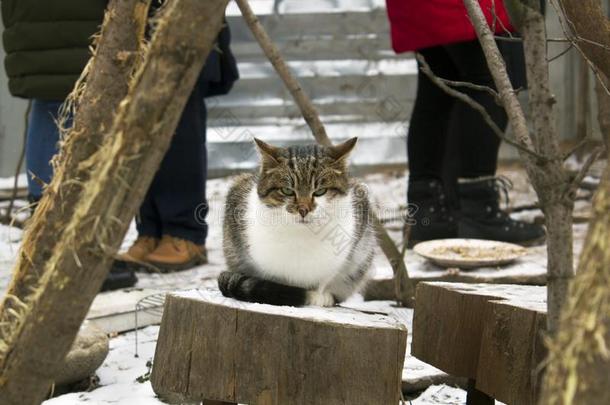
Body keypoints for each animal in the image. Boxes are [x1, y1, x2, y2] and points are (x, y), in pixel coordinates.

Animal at [216, 137, 372, 304]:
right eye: (287, 191)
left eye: (320, 191)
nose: (303, 210)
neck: (301, 233)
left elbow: (325, 277)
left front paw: (319, 296)